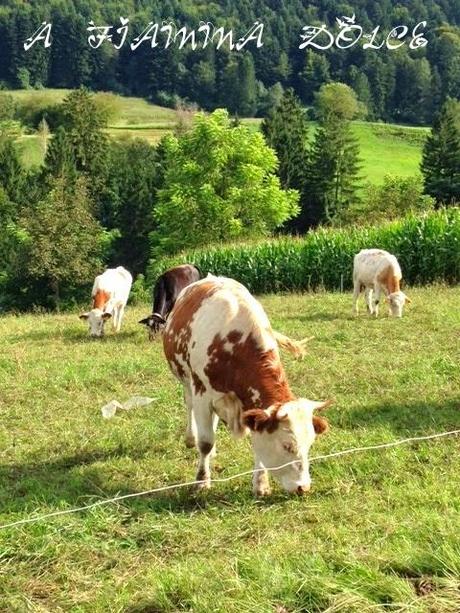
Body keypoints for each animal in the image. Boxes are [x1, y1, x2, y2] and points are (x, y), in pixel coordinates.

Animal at [162, 274, 330, 494]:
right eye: (287, 445)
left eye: (310, 444)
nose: (303, 487)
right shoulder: (202, 394)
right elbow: (205, 442)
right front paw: (202, 481)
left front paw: (261, 483)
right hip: (185, 379)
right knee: (189, 406)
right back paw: (191, 438)